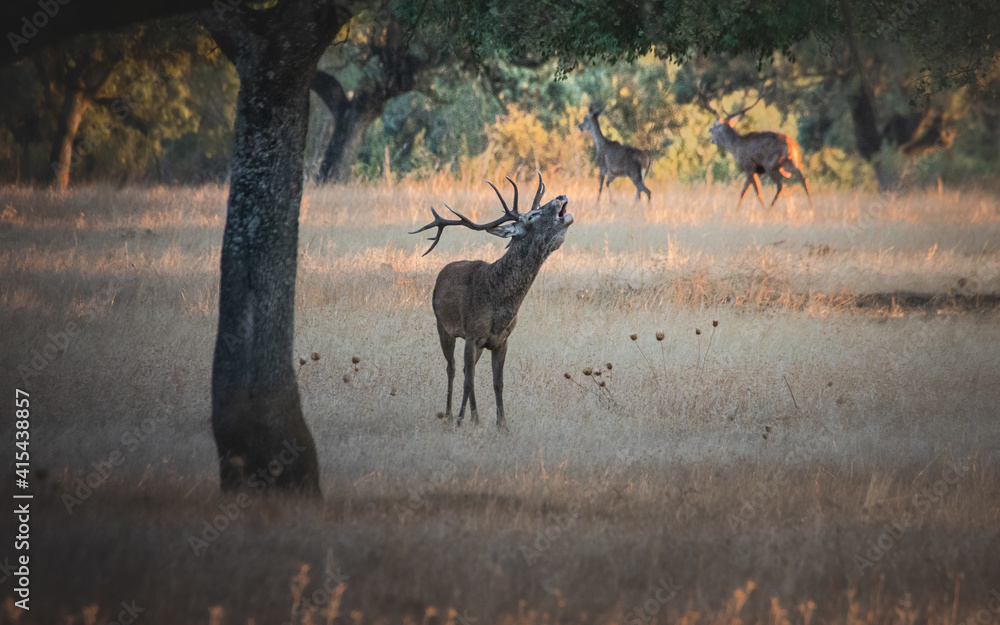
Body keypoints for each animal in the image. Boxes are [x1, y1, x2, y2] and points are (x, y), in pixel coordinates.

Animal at [410, 173, 576, 432]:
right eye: (533, 215)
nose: (561, 196)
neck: (498, 300)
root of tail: (443, 270)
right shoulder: (471, 334)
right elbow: (469, 381)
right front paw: (461, 421)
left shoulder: (501, 340)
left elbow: (498, 383)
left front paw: (502, 425)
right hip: (442, 326)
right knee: (453, 369)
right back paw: (450, 414)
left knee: (467, 369)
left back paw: (473, 417)